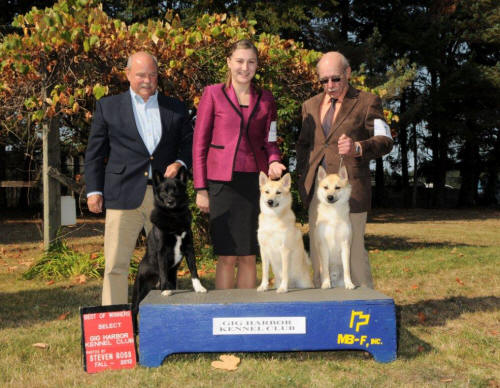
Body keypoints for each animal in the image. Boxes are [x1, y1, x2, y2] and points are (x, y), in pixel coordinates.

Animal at [132, 167, 206, 330]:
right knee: (133, 308)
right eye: (164, 191)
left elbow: (194, 270)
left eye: (176, 190)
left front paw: (199, 287)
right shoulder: (162, 251)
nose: (170, 201)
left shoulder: (189, 248)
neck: (174, 216)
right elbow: (163, 271)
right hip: (139, 290)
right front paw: (165, 290)